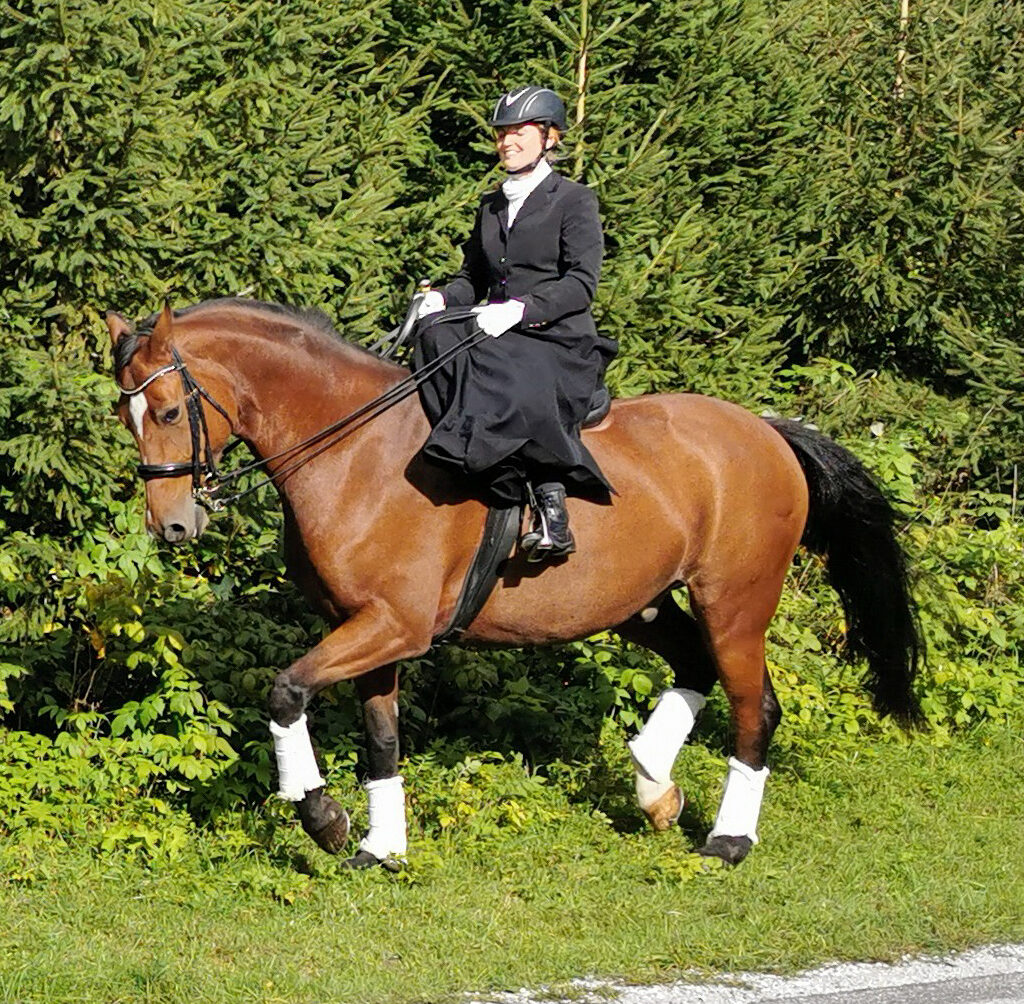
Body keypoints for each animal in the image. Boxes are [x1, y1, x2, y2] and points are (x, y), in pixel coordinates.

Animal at [105, 297, 921, 868]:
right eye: (126, 415)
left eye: (170, 410)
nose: (171, 526)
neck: (354, 449)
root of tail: (768, 431)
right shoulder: (368, 627)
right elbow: (381, 739)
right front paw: (380, 847)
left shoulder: (394, 625)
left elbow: (284, 693)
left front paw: (325, 822)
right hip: (643, 602)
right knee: (694, 666)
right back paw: (655, 788)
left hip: (735, 603)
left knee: (756, 708)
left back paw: (726, 839)